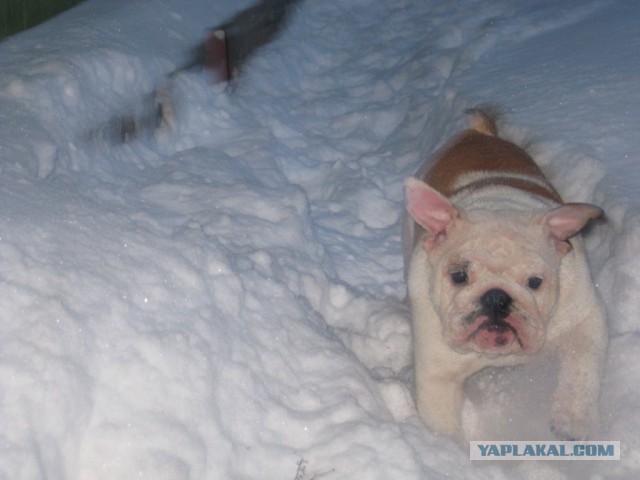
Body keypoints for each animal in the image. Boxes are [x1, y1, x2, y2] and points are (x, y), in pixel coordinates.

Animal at [402, 108, 608, 438]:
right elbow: (443, 422)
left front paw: (572, 420)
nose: (497, 298)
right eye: (459, 276)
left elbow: (581, 369)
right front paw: (447, 448)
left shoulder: (585, 319)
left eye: (535, 282)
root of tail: (480, 132)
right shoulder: (438, 376)